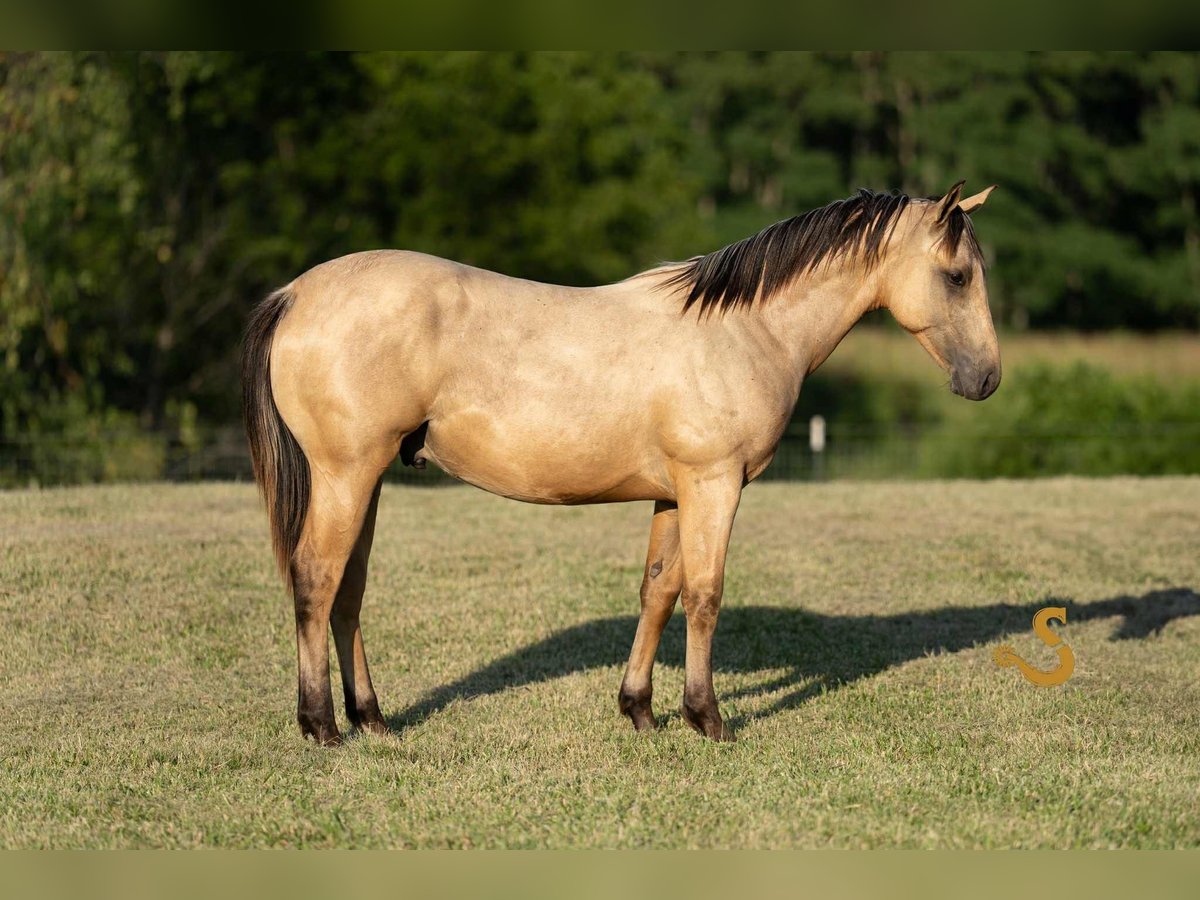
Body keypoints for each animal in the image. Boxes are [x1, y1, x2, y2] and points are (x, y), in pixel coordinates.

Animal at [242, 180, 1001, 745]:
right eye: (957, 275)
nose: (988, 379)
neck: (744, 329)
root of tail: (295, 295)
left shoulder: (675, 493)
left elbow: (658, 591)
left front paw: (640, 710)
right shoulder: (714, 485)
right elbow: (704, 595)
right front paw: (707, 718)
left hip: (366, 482)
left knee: (347, 593)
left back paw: (371, 719)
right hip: (346, 476)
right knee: (317, 581)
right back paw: (321, 726)